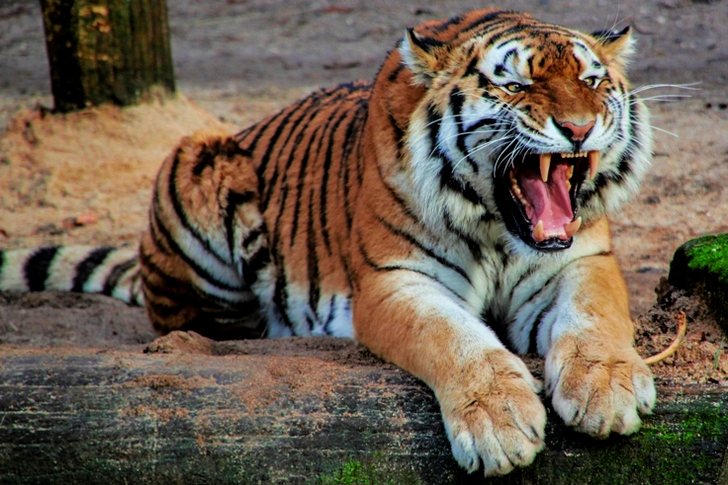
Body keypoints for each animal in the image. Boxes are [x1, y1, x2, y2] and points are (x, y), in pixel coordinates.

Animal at [0, 9, 656, 476]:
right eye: (516, 85)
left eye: (591, 80)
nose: (579, 128)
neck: (498, 227)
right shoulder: (394, 281)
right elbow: (454, 338)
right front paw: (498, 422)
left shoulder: (581, 260)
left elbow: (595, 316)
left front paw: (607, 389)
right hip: (196, 160)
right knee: (195, 324)